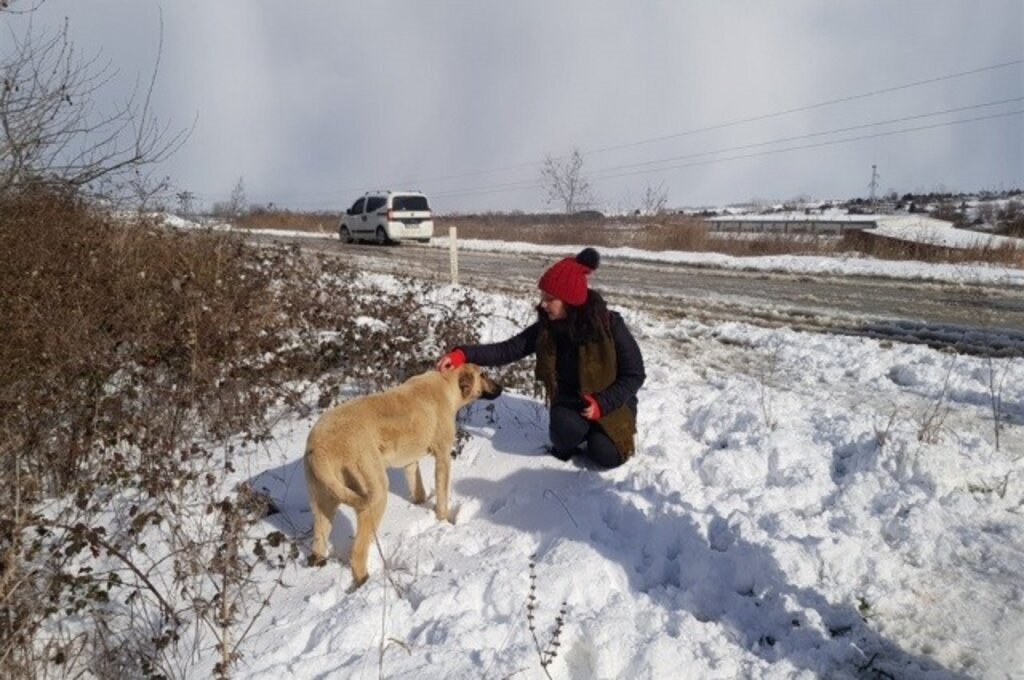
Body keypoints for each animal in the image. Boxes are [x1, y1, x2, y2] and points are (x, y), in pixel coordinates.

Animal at [304, 364, 502, 586]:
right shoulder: (443, 456)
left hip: (324, 502)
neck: (447, 383)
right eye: (483, 375)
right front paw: (444, 522)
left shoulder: (410, 463)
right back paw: (365, 580)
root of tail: (319, 447)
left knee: (319, 542)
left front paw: (418, 506)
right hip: (374, 497)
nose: (502, 388)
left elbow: (418, 490)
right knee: (358, 551)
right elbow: (442, 497)